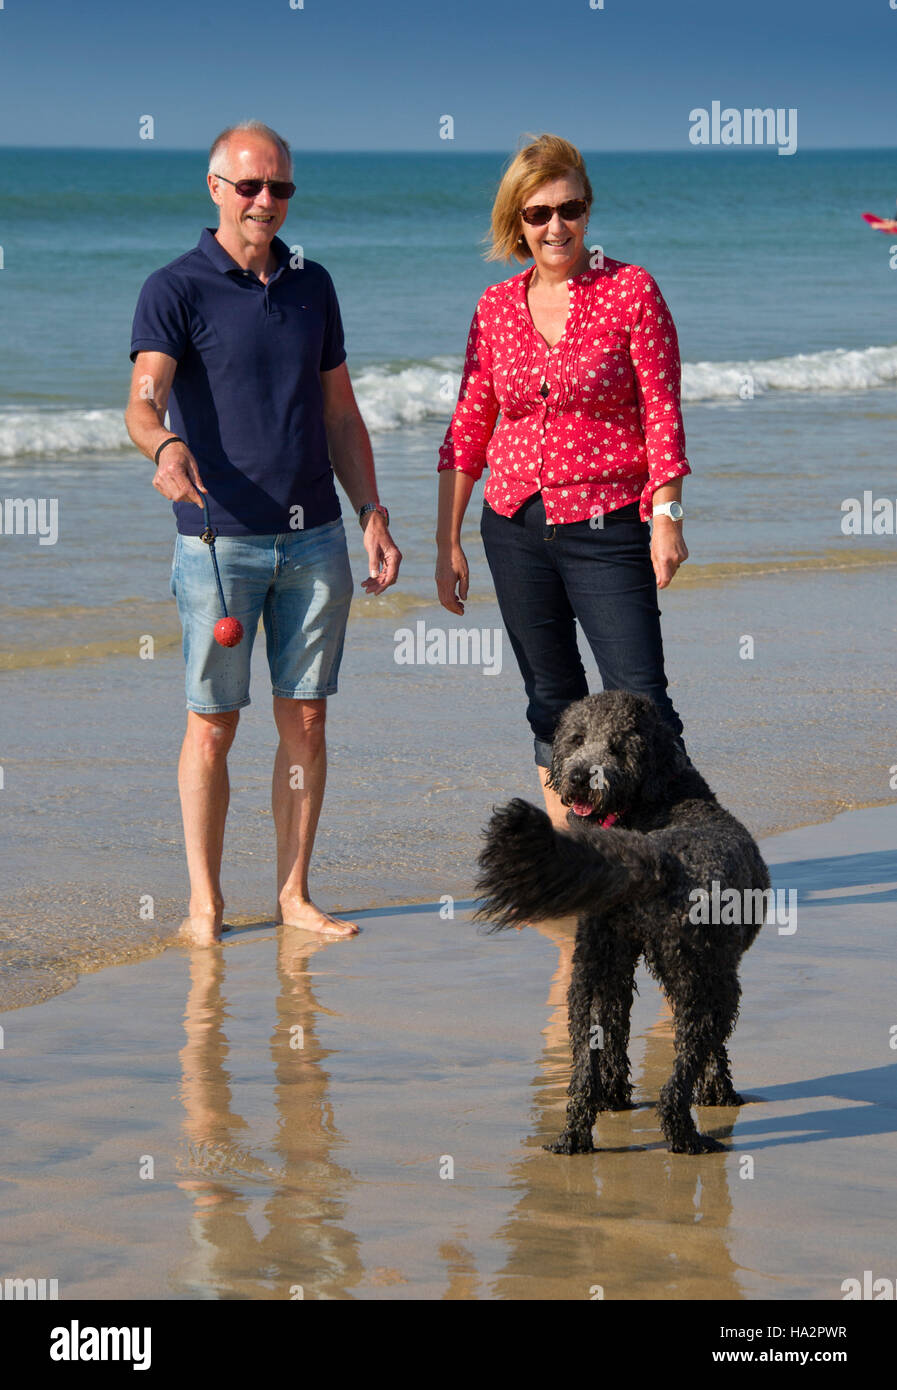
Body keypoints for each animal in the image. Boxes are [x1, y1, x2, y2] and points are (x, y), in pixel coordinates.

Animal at [475, 689, 767, 1156]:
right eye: (577, 738)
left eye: (617, 747)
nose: (579, 778)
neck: (662, 803)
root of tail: (657, 859)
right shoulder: (715, 972)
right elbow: (714, 1052)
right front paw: (718, 1093)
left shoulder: (618, 964)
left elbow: (615, 1027)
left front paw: (613, 1096)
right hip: (706, 983)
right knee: (681, 1072)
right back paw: (688, 1136)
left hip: (589, 974)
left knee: (582, 1066)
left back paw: (576, 1135)